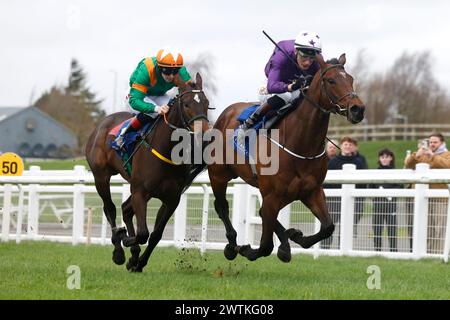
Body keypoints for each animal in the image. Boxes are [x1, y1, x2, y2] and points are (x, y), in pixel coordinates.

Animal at [85, 73, 210, 272]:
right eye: (186, 104)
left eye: (206, 103)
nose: (204, 134)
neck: (166, 150)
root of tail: (102, 124)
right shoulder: (140, 192)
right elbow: (143, 232)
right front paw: (126, 241)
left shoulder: (171, 199)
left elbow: (155, 235)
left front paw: (138, 262)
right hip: (101, 176)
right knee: (110, 208)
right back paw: (118, 250)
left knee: (125, 209)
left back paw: (132, 253)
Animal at [207, 53, 366, 262]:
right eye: (331, 80)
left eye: (351, 79)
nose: (358, 109)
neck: (301, 144)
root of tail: (224, 115)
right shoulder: (273, 195)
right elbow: (265, 246)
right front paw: (247, 249)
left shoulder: (311, 191)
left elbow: (327, 227)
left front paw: (294, 236)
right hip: (218, 175)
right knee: (222, 207)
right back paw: (232, 245)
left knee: (262, 212)